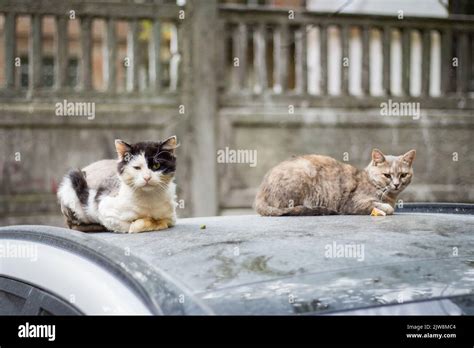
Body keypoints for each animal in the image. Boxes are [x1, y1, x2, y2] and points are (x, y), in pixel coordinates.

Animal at [256, 149, 414, 216]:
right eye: (387, 175)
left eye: (403, 175)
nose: (396, 184)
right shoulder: (354, 203)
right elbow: (384, 207)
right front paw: (386, 207)